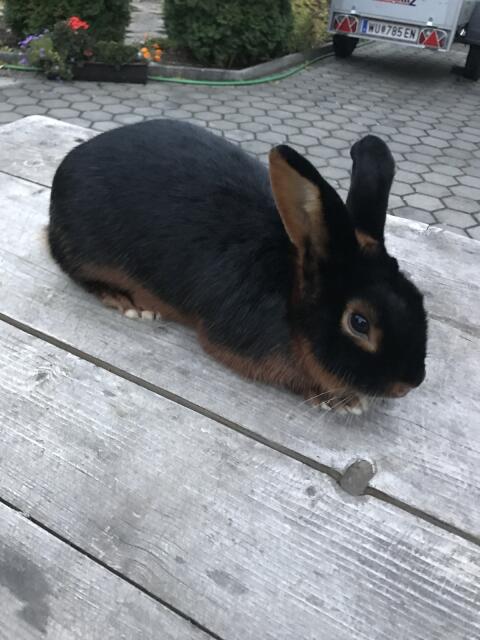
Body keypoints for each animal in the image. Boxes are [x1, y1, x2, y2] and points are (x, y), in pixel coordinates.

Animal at [48, 119, 427, 414]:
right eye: (359, 322)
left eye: (416, 294)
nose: (410, 383)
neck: (290, 290)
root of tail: (68, 165)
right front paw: (341, 401)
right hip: (83, 251)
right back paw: (127, 302)